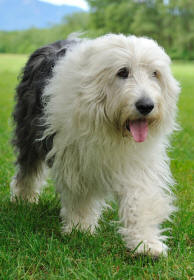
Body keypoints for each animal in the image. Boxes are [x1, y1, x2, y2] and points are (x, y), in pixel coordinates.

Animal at [10, 34, 180, 256]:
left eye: (155, 74)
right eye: (122, 72)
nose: (146, 106)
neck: (112, 129)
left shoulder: (138, 162)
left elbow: (140, 199)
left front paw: (145, 243)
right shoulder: (75, 157)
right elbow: (80, 195)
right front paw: (79, 228)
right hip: (29, 130)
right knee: (28, 168)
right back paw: (24, 198)